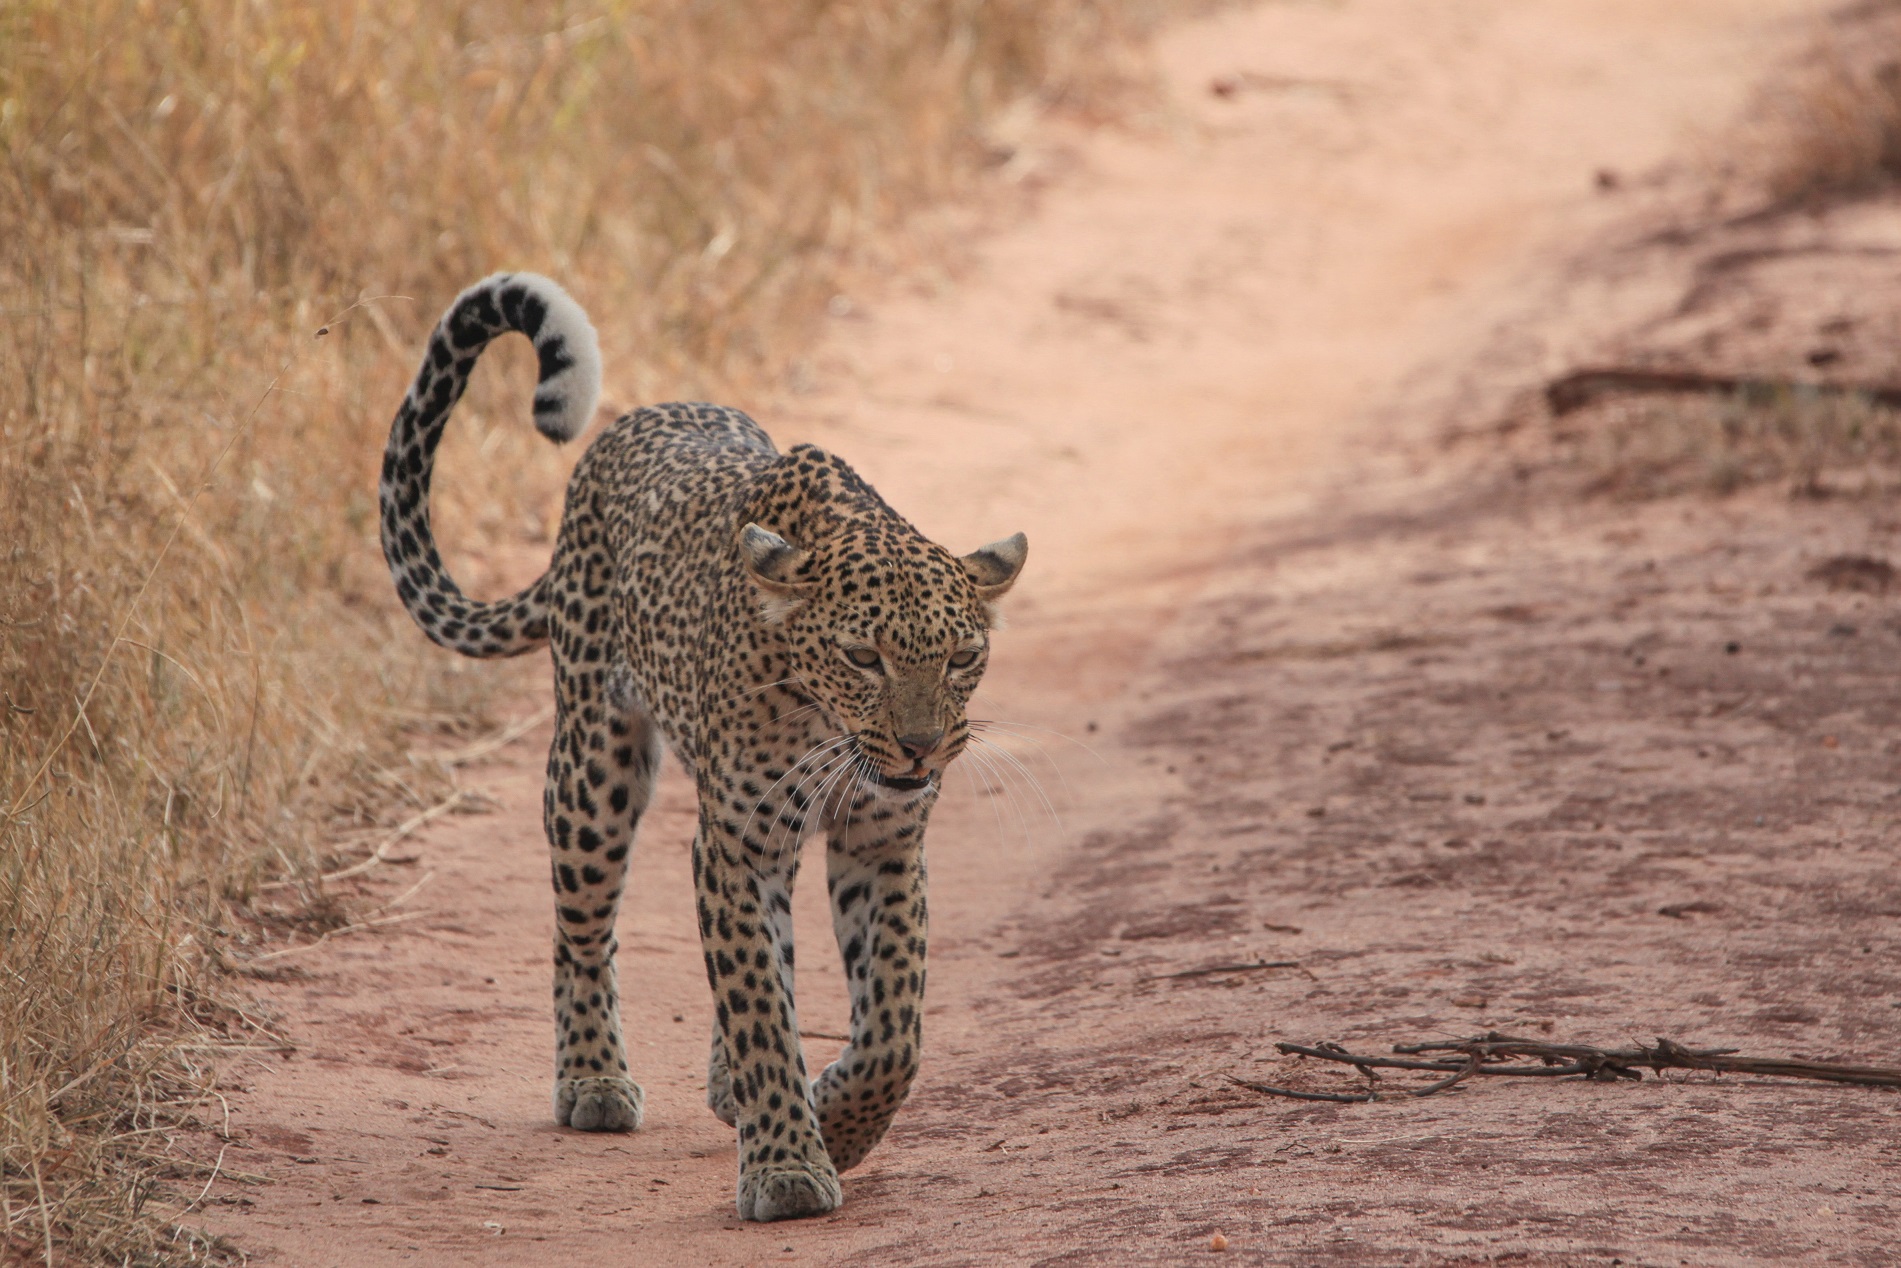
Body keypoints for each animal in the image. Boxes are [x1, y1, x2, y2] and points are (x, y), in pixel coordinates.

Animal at [377, 273, 1026, 1222]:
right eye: (862, 657)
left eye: (962, 657)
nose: (919, 749)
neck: (823, 720)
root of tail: (629, 425)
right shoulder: (738, 845)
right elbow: (758, 1002)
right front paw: (789, 1164)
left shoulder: (883, 842)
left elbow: (892, 1027)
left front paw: (839, 1121)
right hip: (594, 771)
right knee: (581, 932)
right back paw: (594, 1080)